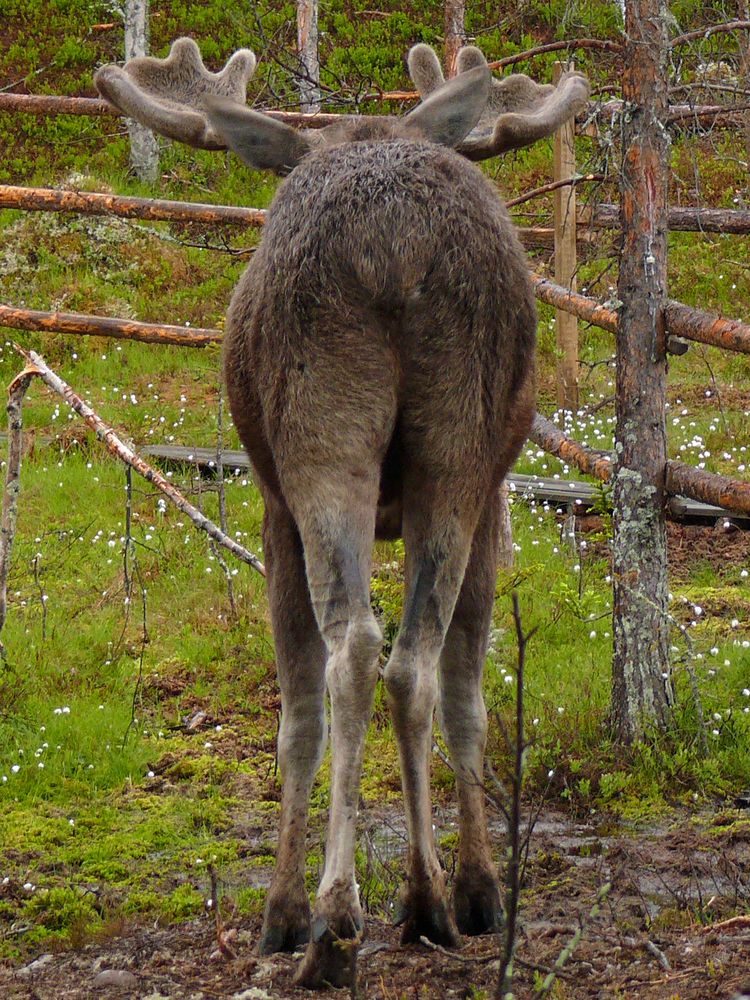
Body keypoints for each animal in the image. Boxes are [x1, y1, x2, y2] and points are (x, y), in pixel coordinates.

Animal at [92, 37, 588, 984]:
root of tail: (392, 246)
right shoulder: (498, 499)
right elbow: (467, 692)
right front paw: (472, 888)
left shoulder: (272, 507)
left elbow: (296, 719)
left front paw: (283, 910)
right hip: (456, 449)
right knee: (411, 660)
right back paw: (422, 900)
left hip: (318, 438)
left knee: (355, 649)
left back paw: (331, 917)